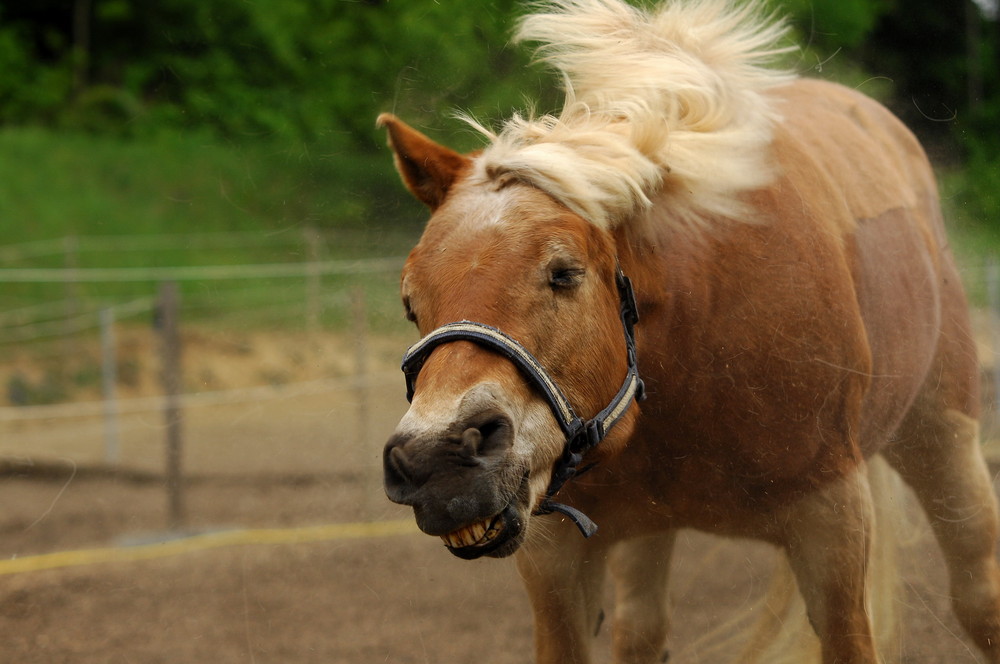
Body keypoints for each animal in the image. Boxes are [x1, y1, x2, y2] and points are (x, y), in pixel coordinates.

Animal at [374, 1, 1000, 664]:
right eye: (411, 302)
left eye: (564, 272)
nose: (437, 458)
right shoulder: (556, 555)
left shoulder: (832, 525)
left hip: (942, 438)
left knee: (979, 599)